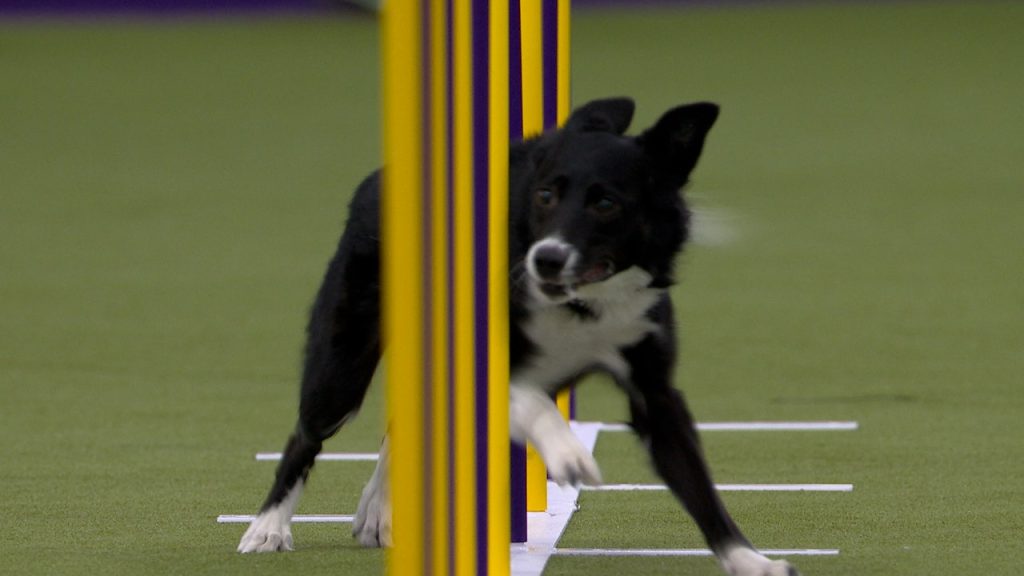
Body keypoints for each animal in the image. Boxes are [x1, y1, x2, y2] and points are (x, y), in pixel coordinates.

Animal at [235, 98, 794, 573]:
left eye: (606, 203)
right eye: (545, 195)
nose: (545, 258)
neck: (583, 305)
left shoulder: (654, 389)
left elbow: (700, 486)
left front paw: (751, 561)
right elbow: (530, 400)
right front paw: (569, 454)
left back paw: (376, 510)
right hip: (342, 363)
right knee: (306, 435)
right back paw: (268, 527)